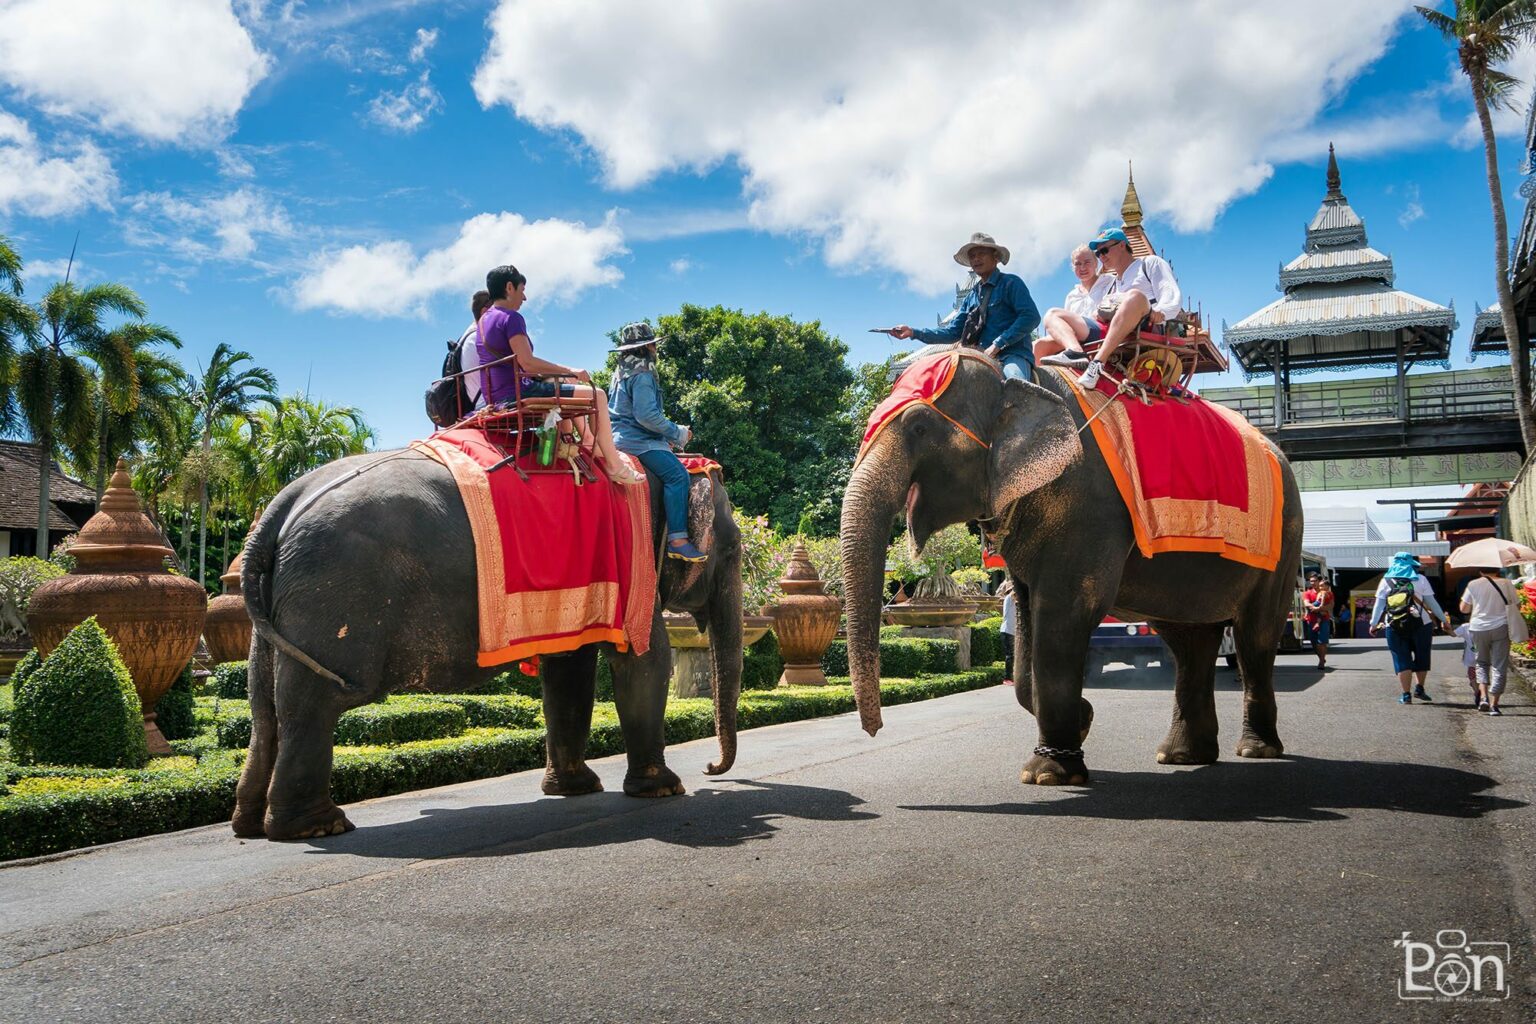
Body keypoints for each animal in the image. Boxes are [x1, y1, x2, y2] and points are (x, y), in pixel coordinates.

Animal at [233, 454, 743, 841]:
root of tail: (280, 508)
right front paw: (664, 791)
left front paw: (575, 789)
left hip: (275, 607)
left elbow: (569, 671)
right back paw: (318, 828)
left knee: (266, 709)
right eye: (735, 549)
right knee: (313, 704)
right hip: (332, 595)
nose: (711, 770)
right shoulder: (632, 561)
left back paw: (253, 827)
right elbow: (642, 662)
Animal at [847, 343, 1302, 786]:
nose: (873, 730)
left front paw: (1049, 773)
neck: (1017, 377)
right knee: (1190, 640)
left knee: (1255, 638)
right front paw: (1081, 722)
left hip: (1284, 540)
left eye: (920, 427)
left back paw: (1256, 750)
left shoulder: (1091, 508)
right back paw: (1182, 756)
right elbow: (1028, 627)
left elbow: (1064, 615)